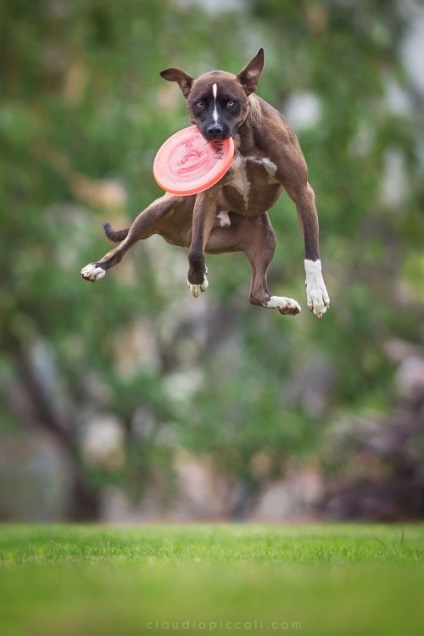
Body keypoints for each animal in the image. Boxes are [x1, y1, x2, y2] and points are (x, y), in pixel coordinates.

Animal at [81, 48, 330, 318]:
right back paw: (98, 266)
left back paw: (284, 303)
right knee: (126, 247)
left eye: (230, 102)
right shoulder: (207, 197)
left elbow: (311, 253)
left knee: (257, 292)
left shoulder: (301, 191)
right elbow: (195, 252)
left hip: (264, 238)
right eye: (199, 103)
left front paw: (316, 292)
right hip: (157, 212)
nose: (214, 129)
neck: (243, 140)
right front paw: (196, 279)